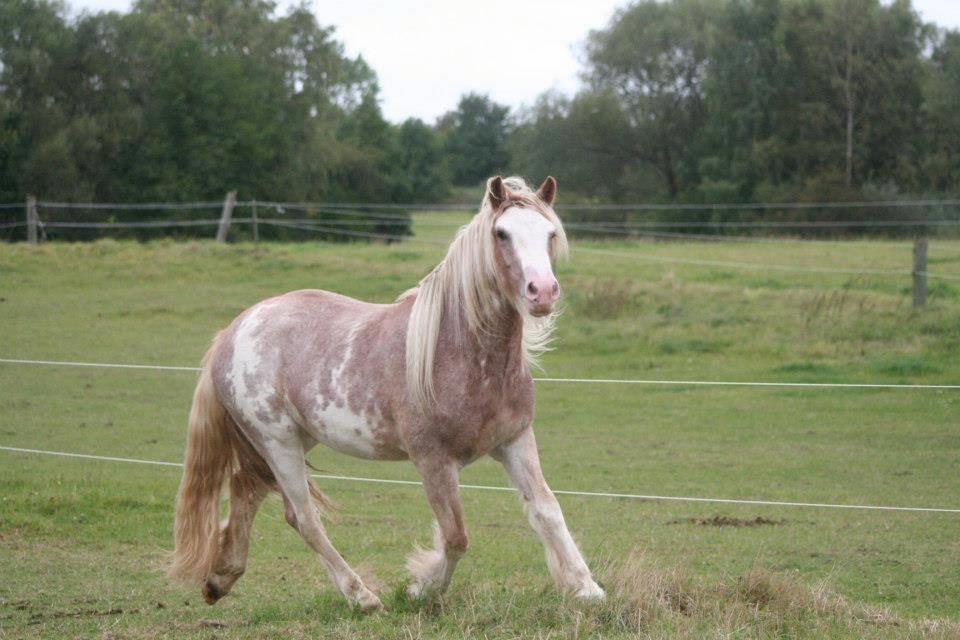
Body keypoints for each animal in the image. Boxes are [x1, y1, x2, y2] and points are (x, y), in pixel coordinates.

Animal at [169, 174, 604, 608]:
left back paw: (220, 579)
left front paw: (587, 587)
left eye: (550, 232)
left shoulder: (515, 441)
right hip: (278, 442)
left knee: (247, 490)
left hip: (296, 439)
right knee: (304, 518)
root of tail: (232, 331)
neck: (461, 353)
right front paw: (422, 587)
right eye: (502, 234)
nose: (542, 292)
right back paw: (361, 597)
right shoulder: (433, 461)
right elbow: (456, 537)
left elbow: (547, 509)